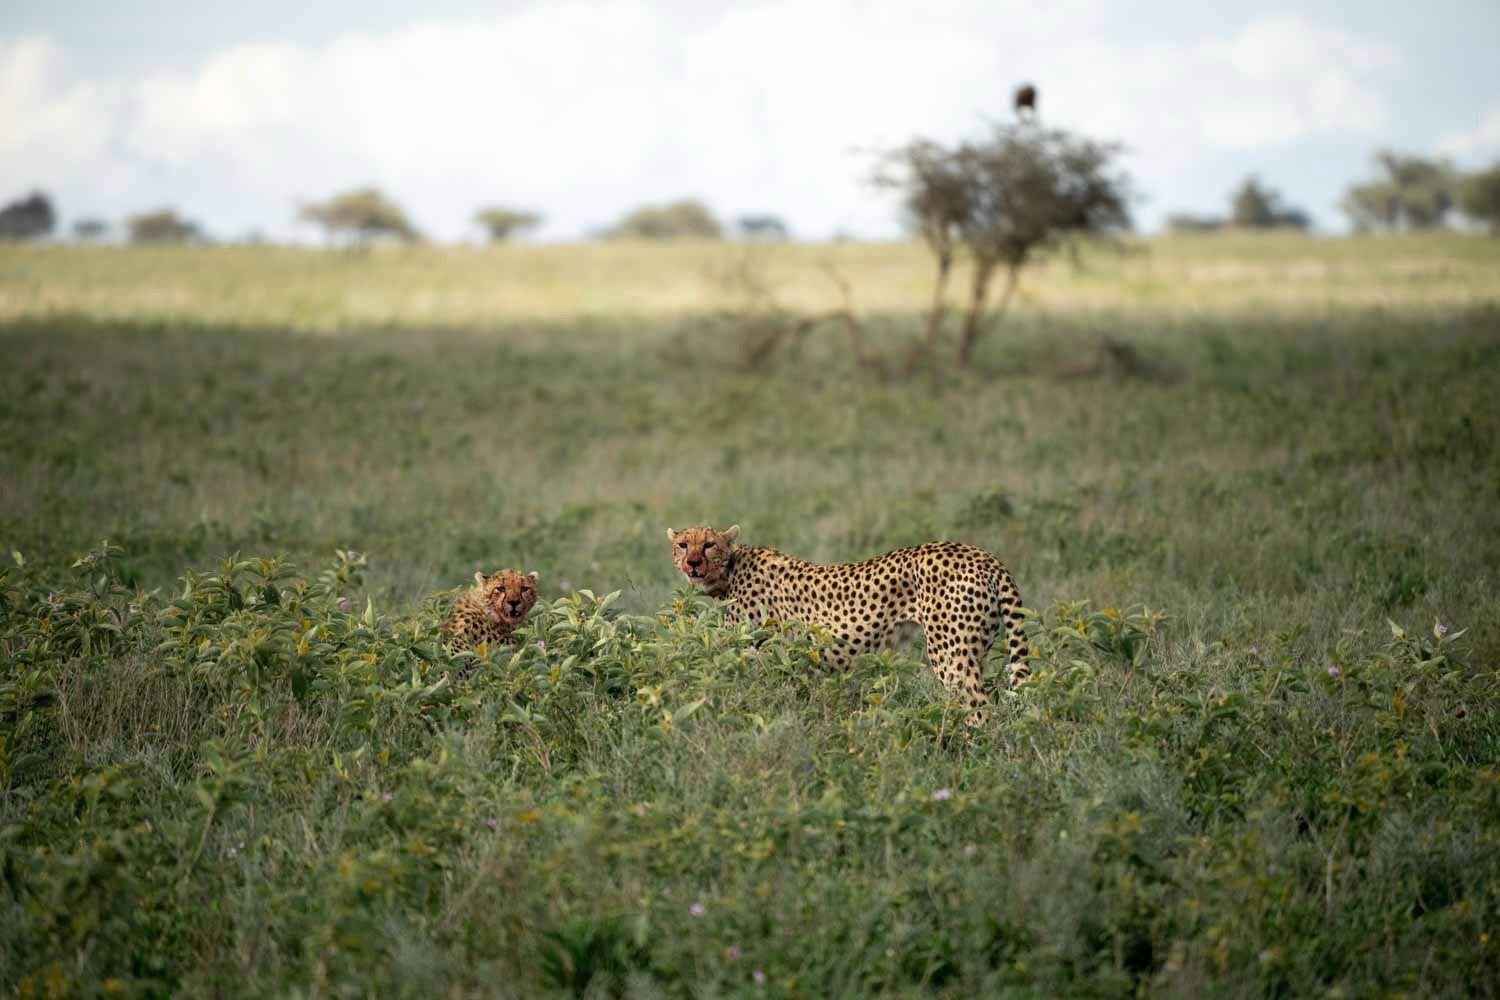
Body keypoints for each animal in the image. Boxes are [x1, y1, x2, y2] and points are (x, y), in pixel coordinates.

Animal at [672, 524, 1032, 728]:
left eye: (708, 544)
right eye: (683, 544)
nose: (693, 562)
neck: (729, 569)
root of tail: (983, 555)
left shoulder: (766, 657)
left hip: (951, 655)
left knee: (979, 709)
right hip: (976, 650)